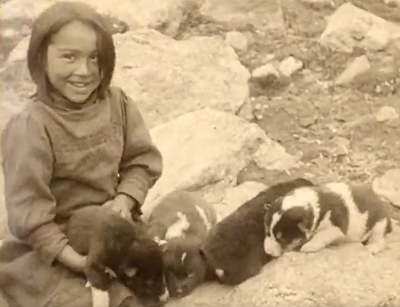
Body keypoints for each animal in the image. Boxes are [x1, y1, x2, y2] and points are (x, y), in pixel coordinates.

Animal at [264, 183, 392, 258]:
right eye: (267, 232)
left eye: (282, 239)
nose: (268, 252)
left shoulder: (336, 227)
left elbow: (322, 235)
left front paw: (309, 246)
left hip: (379, 224)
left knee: (379, 240)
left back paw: (372, 247)